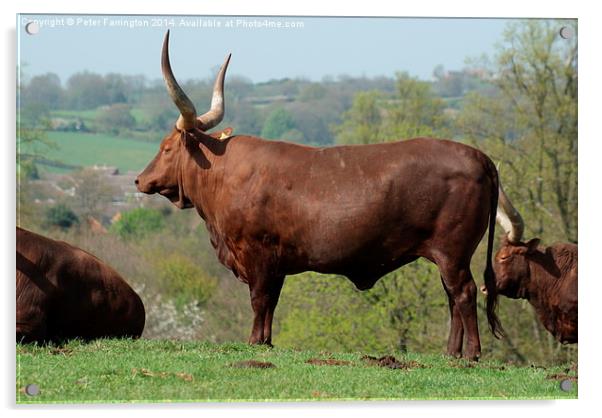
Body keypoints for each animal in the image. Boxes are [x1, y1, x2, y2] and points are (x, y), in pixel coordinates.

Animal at [136, 31, 502, 360]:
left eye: (166, 148)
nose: (140, 180)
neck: (224, 172)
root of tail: (478, 156)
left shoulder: (256, 253)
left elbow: (259, 299)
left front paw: (254, 341)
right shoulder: (276, 261)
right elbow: (271, 302)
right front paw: (266, 342)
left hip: (453, 252)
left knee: (464, 293)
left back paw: (471, 354)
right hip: (447, 256)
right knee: (452, 297)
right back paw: (451, 353)